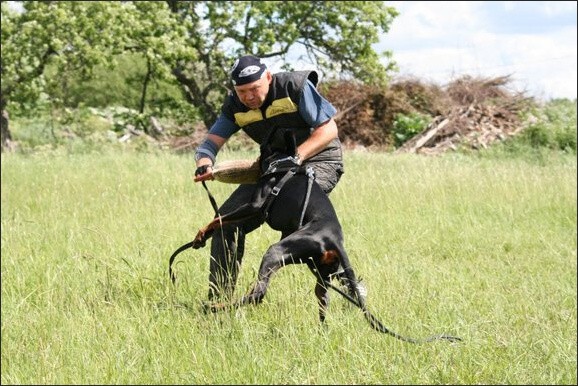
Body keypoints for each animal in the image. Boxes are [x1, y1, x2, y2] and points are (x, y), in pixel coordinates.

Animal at [170, 132, 460, 344]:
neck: (283, 163)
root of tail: (334, 241)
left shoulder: (254, 206)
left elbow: (219, 219)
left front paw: (201, 234)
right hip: (322, 277)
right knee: (323, 303)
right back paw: (321, 335)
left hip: (276, 252)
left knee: (259, 293)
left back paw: (215, 307)